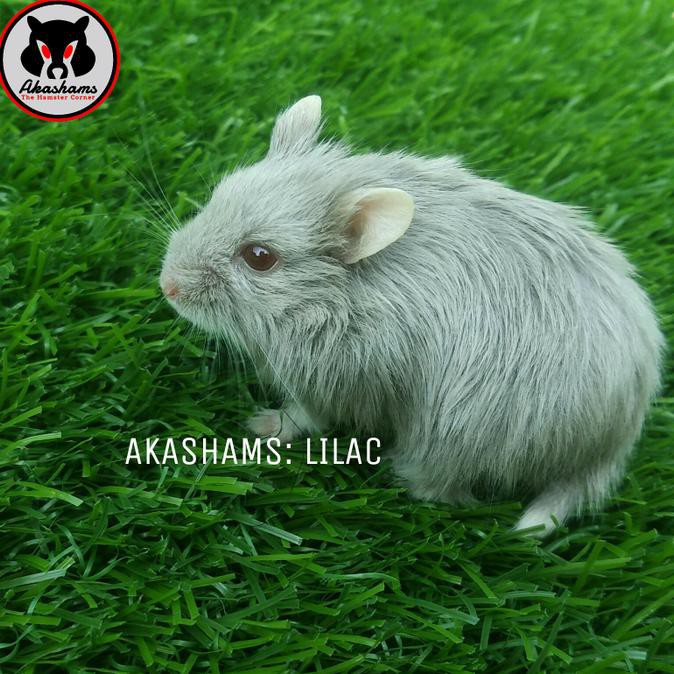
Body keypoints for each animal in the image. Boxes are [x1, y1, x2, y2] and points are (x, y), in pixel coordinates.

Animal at [160, 95, 663, 535]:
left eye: (259, 257)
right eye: (218, 194)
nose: (167, 286)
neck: (340, 299)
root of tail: (606, 448)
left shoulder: (341, 383)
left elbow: (304, 417)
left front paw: (259, 428)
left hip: (450, 440)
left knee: (441, 490)